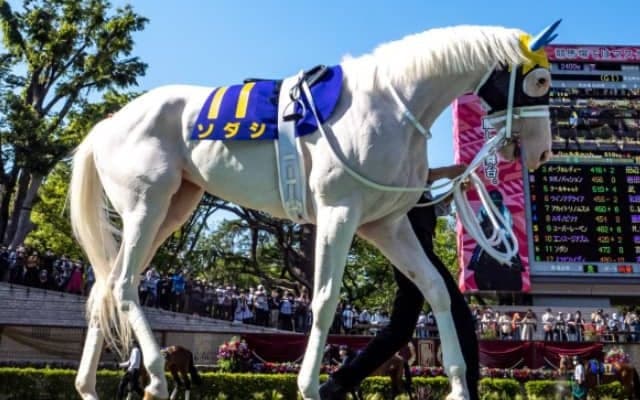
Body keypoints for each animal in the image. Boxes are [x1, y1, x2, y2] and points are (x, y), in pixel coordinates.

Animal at [70, 21, 560, 400]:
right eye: (539, 82)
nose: (542, 153)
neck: (392, 104)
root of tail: (107, 125)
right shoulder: (338, 211)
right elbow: (324, 299)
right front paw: (309, 385)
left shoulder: (385, 223)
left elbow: (436, 288)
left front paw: (458, 385)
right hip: (146, 206)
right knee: (126, 283)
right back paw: (154, 375)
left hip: (174, 207)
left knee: (106, 286)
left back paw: (88, 385)